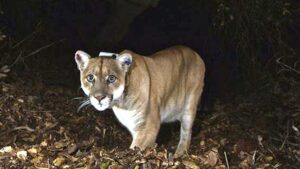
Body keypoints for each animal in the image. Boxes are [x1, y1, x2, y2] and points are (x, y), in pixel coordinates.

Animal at [75, 45, 206, 157]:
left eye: (111, 78)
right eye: (90, 77)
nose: (99, 97)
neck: (121, 103)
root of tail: (195, 53)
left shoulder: (149, 126)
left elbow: (135, 148)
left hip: (190, 106)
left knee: (186, 133)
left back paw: (179, 154)